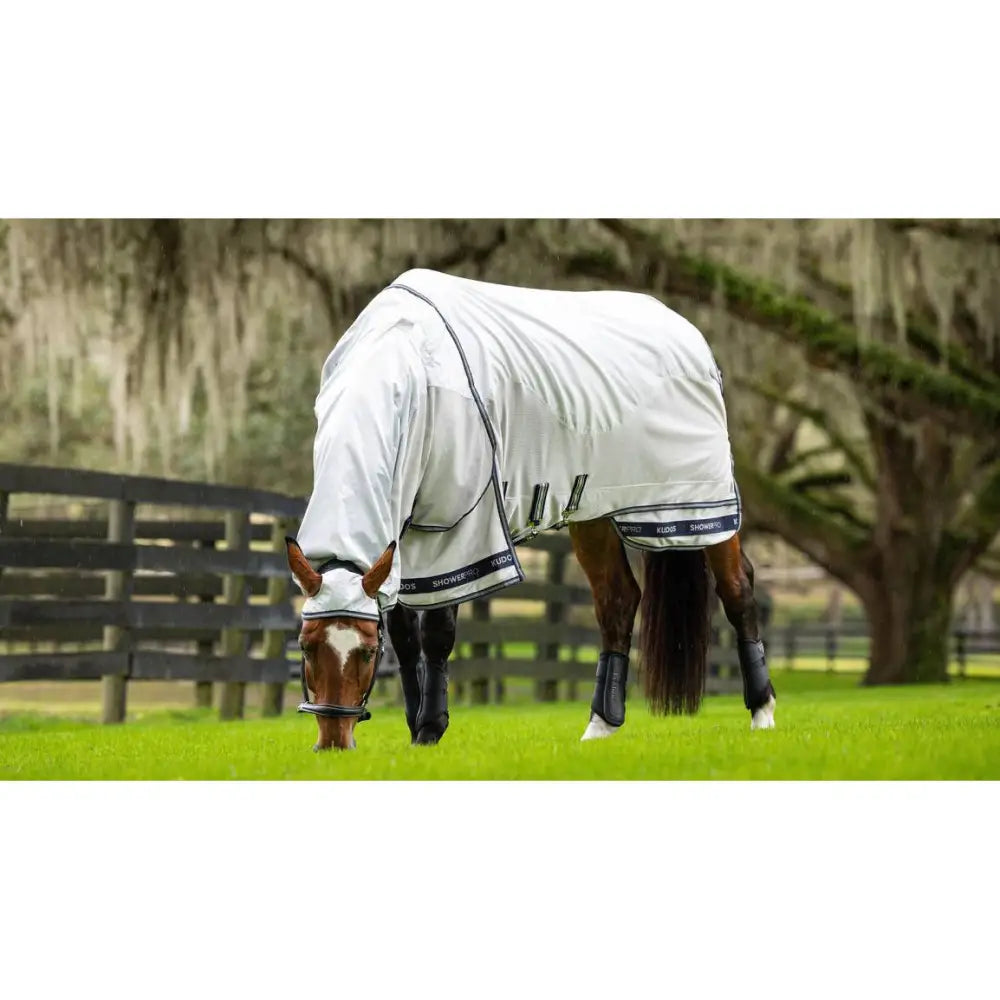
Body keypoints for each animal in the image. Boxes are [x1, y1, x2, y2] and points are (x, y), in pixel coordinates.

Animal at [286, 268, 776, 750]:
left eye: (367, 652)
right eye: (306, 646)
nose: (333, 742)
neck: (410, 364)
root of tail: (690, 336)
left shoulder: (457, 534)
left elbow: (437, 633)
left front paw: (429, 729)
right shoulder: (400, 537)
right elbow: (406, 637)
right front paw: (414, 725)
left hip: (701, 505)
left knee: (737, 588)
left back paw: (762, 712)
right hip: (595, 514)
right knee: (617, 601)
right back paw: (600, 725)